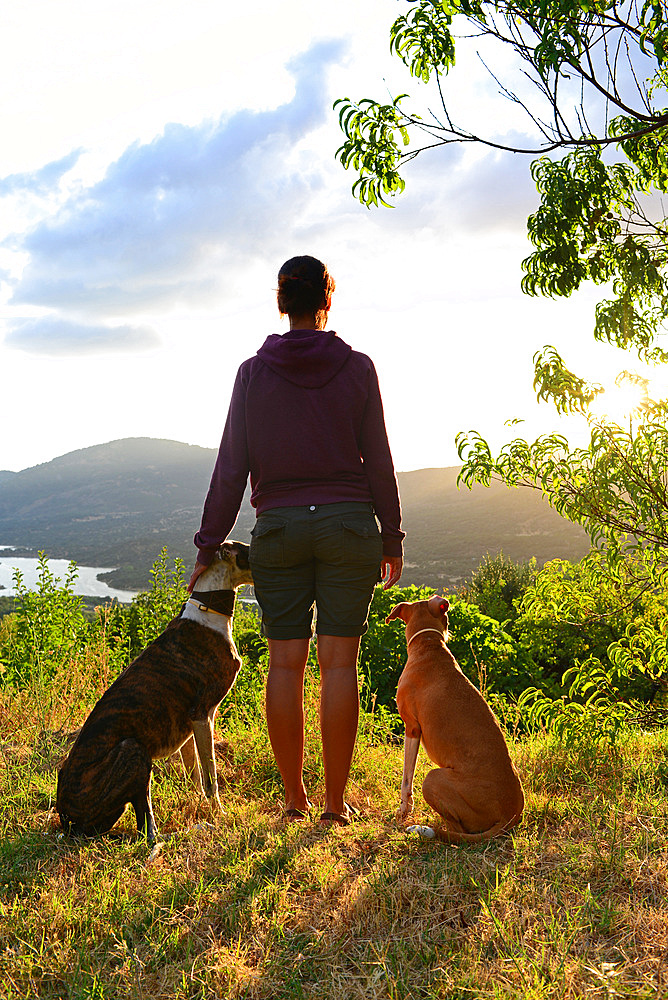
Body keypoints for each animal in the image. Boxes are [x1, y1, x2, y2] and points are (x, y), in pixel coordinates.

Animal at [54, 544, 252, 840]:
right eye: (249, 550)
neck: (207, 613)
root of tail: (67, 819)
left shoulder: (190, 725)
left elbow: (195, 775)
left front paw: (200, 806)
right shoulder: (203, 715)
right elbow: (210, 777)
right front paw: (219, 814)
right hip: (133, 751)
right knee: (147, 829)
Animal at [388, 592, 524, 844]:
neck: (429, 646)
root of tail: (509, 815)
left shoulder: (412, 728)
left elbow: (406, 779)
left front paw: (404, 810)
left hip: (433, 779)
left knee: (456, 830)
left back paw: (424, 829)